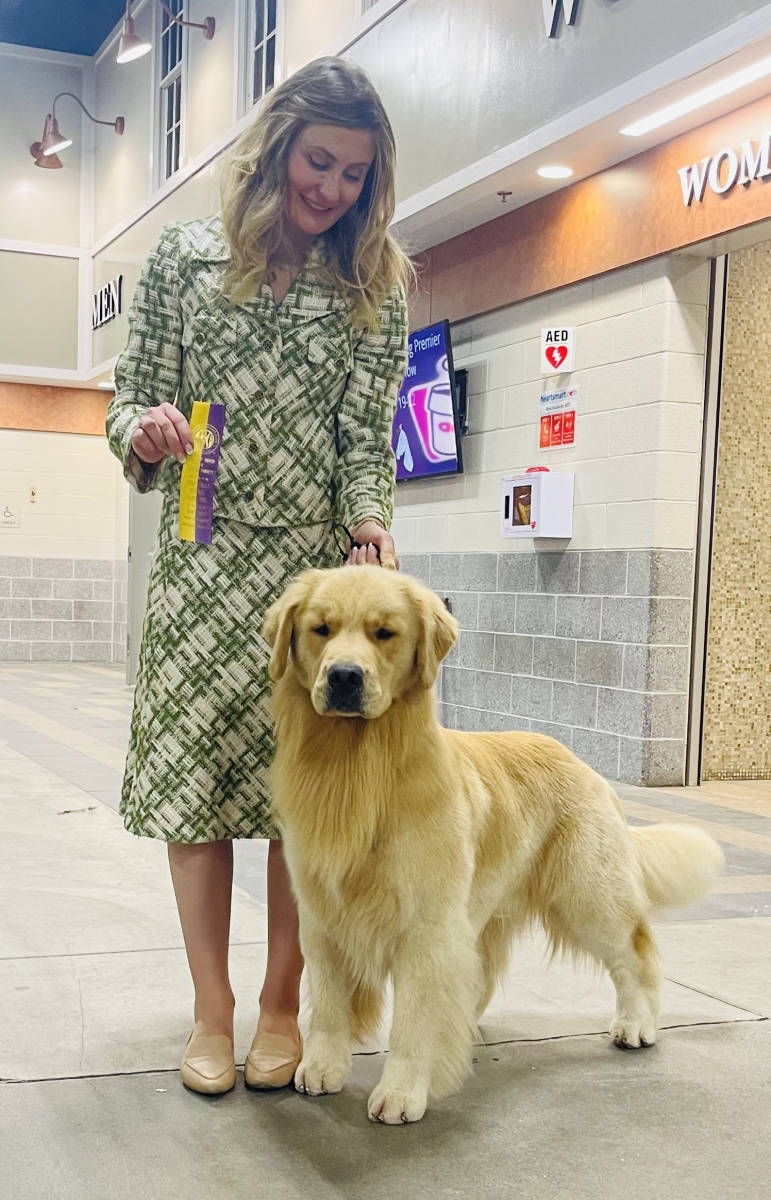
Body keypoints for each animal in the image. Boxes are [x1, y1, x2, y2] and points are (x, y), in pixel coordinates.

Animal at [264, 566, 723, 1125]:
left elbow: (413, 1020)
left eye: (385, 633)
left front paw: (402, 1091)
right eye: (321, 629)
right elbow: (329, 1004)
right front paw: (322, 1066)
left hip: (588, 897)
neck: (358, 765)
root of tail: (588, 769)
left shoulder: (426, 926)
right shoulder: (321, 916)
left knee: (636, 955)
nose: (345, 677)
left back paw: (637, 1024)